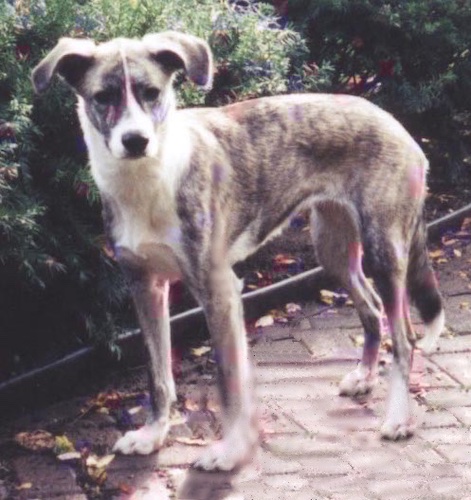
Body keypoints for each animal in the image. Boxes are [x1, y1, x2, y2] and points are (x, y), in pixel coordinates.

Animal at [32, 32, 446, 472]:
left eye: (151, 93)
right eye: (103, 96)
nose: (136, 140)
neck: (150, 178)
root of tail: (396, 124)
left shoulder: (219, 291)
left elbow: (229, 381)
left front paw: (228, 452)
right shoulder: (145, 288)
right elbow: (157, 375)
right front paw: (152, 435)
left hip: (384, 250)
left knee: (404, 338)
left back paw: (399, 418)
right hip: (332, 249)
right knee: (370, 309)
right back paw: (365, 377)